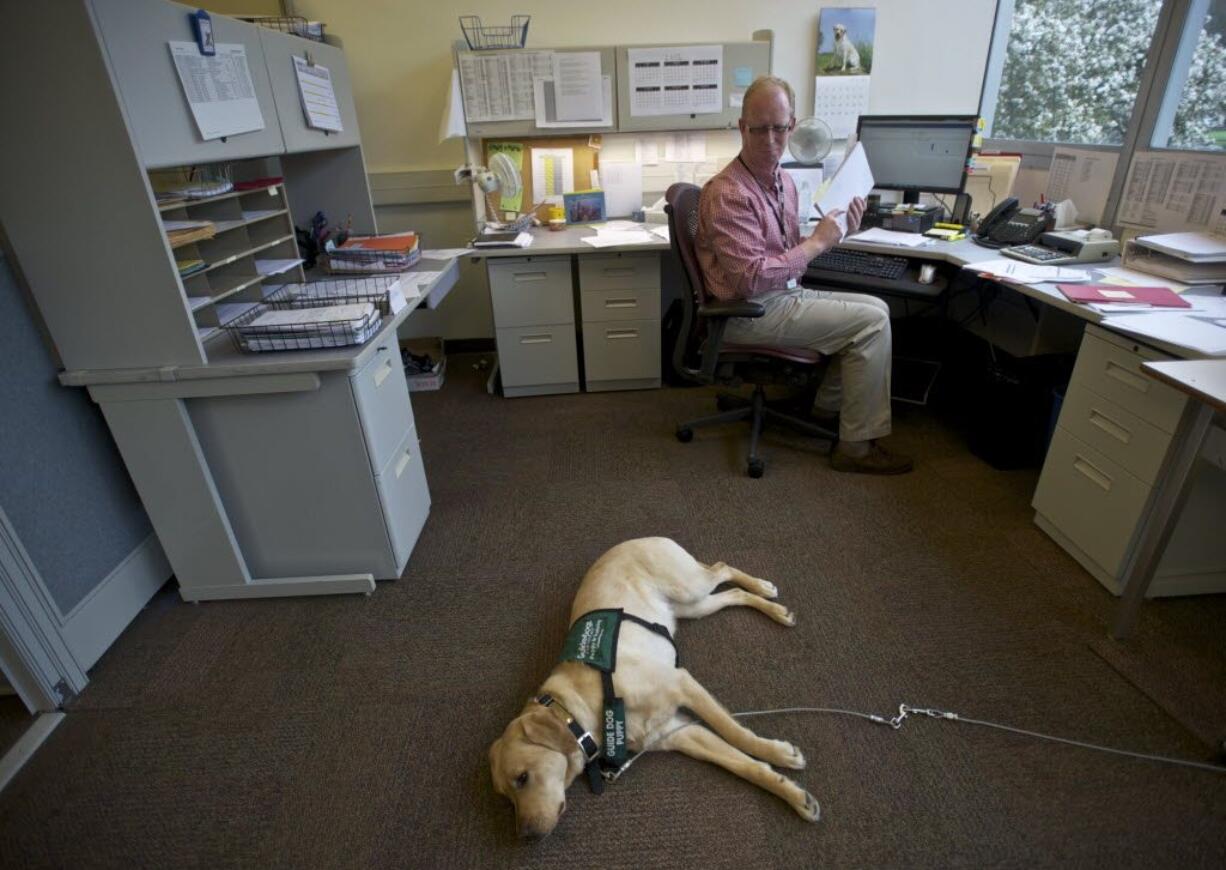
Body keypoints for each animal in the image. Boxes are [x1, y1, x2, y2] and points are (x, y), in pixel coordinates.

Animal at [485, 534, 814, 843]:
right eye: (506, 799)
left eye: (522, 778)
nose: (526, 837)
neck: (588, 709)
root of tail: (635, 539)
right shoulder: (677, 732)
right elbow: (740, 764)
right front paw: (795, 795)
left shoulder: (682, 683)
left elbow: (736, 733)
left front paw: (779, 753)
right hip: (693, 606)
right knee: (732, 593)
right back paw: (775, 609)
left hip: (689, 586)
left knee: (721, 568)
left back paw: (764, 587)